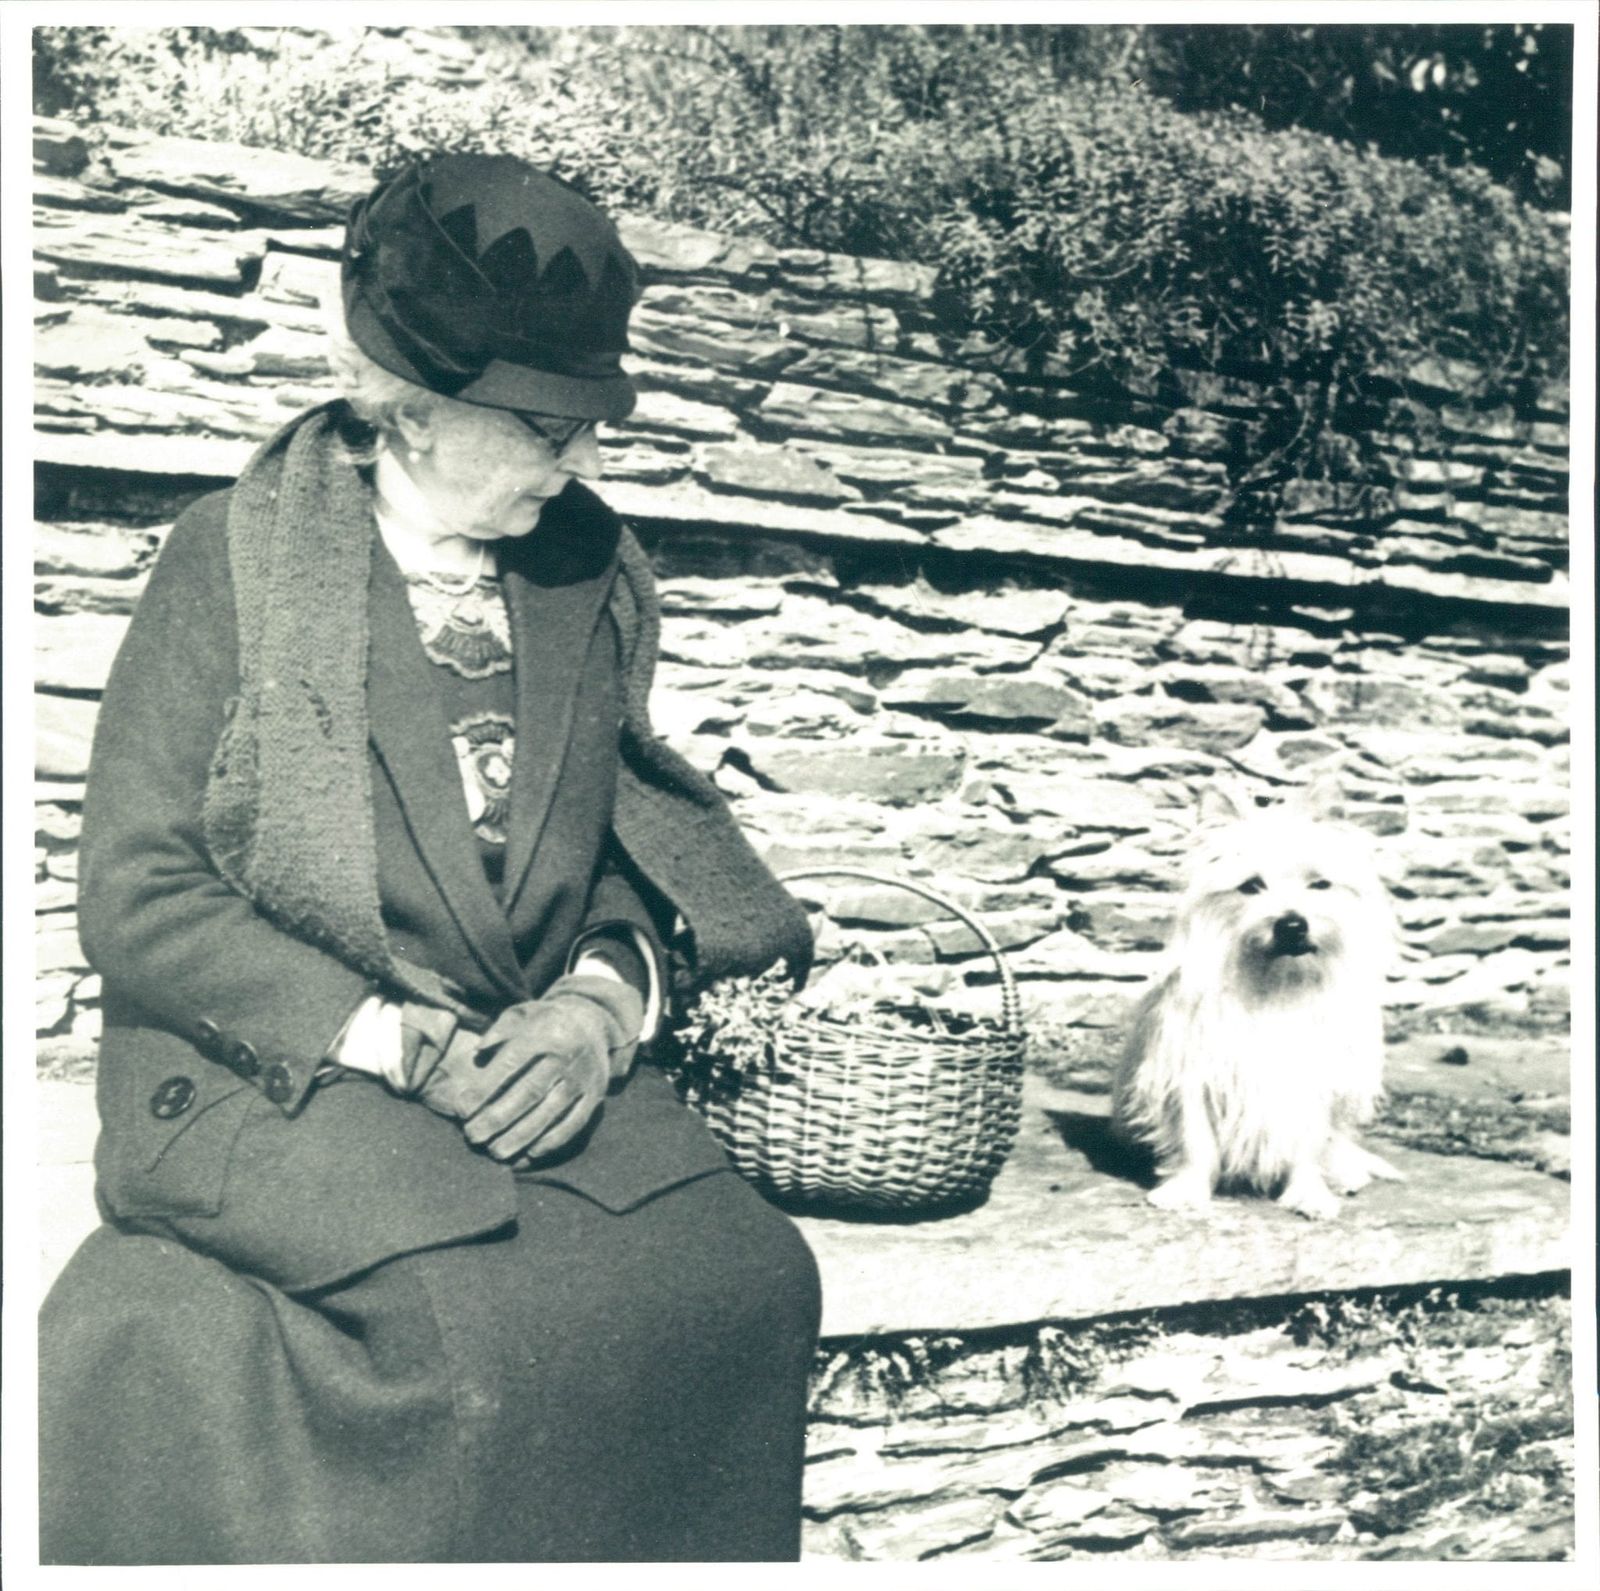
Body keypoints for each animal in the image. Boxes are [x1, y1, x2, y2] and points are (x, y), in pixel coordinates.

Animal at [1113, 774, 1401, 1222]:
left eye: (1320, 883)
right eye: (1250, 886)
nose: (1293, 925)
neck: (1276, 982)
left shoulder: (1314, 1083)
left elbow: (1309, 1144)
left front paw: (1309, 1194)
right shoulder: (1194, 1074)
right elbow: (1196, 1140)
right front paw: (1187, 1191)